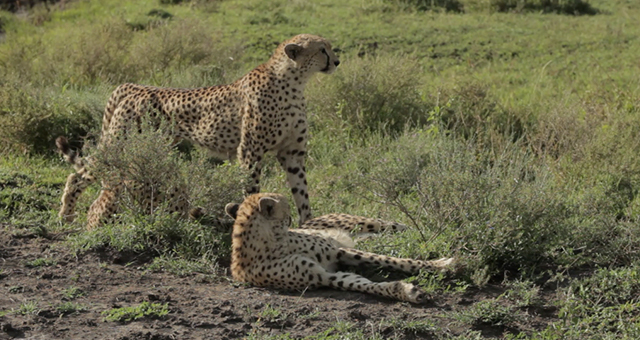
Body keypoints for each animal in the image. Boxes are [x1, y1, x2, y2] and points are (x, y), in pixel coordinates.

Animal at [58, 33, 340, 228]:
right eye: (322, 49)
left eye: (330, 47)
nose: (337, 61)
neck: (294, 81)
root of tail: (135, 86)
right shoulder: (250, 151)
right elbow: (251, 189)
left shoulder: (292, 154)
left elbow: (302, 193)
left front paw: (308, 224)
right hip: (121, 146)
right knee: (77, 176)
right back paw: (66, 216)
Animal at [225, 194, 456, 302]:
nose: (292, 217)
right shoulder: (324, 275)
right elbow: (363, 283)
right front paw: (407, 291)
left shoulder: (338, 251)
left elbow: (391, 260)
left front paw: (441, 264)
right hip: (367, 236)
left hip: (369, 223)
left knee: (404, 227)